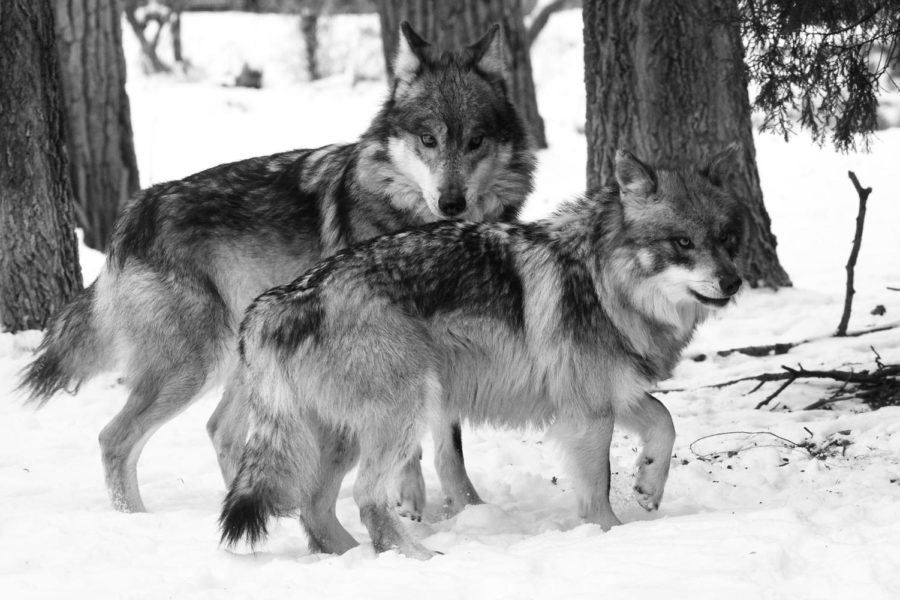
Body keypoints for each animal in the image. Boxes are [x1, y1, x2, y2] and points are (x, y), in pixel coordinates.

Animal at [19, 21, 536, 512]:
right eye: (428, 139)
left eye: (475, 141)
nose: (452, 203)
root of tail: (133, 212)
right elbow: (413, 450)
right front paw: (414, 510)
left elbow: (452, 448)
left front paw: (468, 510)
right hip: (194, 366)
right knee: (115, 438)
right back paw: (136, 518)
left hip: (242, 362)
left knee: (219, 430)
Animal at [221, 148, 748, 560]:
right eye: (683, 242)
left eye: (726, 240)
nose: (734, 282)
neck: (601, 280)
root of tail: (280, 300)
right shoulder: (588, 412)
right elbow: (597, 489)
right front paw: (611, 537)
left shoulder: (610, 392)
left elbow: (665, 420)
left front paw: (648, 486)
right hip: (403, 412)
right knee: (365, 495)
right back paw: (420, 558)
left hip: (343, 436)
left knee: (315, 507)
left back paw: (357, 559)